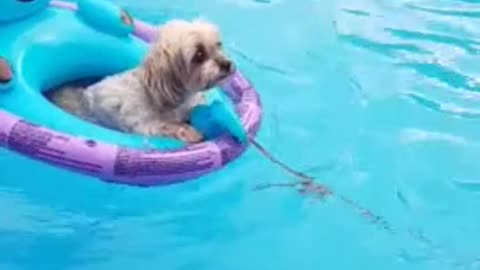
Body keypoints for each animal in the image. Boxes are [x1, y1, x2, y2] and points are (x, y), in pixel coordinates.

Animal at [47, 19, 235, 143]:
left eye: (218, 45)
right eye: (199, 55)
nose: (227, 64)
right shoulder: (142, 125)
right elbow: (166, 125)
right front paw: (188, 131)